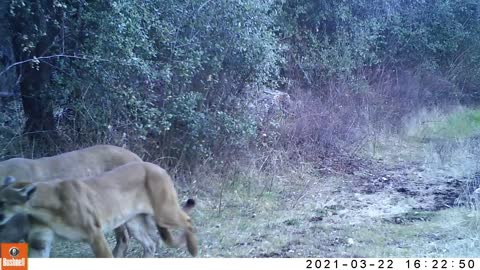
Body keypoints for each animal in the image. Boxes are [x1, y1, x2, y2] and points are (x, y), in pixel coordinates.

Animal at [0, 161, 197, 258]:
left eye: (3, 201)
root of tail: (158, 167)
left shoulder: (94, 233)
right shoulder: (40, 241)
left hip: (164, 212)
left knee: (188, 221)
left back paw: (194, 250)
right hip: (134, 222)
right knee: (150, 244)